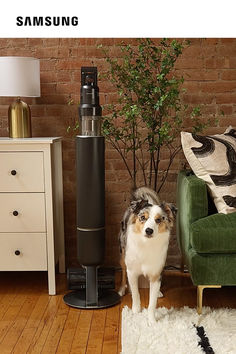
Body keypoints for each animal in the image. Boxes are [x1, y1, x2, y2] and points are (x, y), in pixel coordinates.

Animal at [119, 188, 176, 324]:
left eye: (159, 220)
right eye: (142, 217)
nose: (149, 230)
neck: (146, 244)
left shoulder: (156, 274)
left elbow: (152, 302)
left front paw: (152, 321)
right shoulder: (132, 271)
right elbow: (136, 294)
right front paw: (136, 312)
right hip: (122, 254)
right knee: (123, 271)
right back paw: (122, 289)